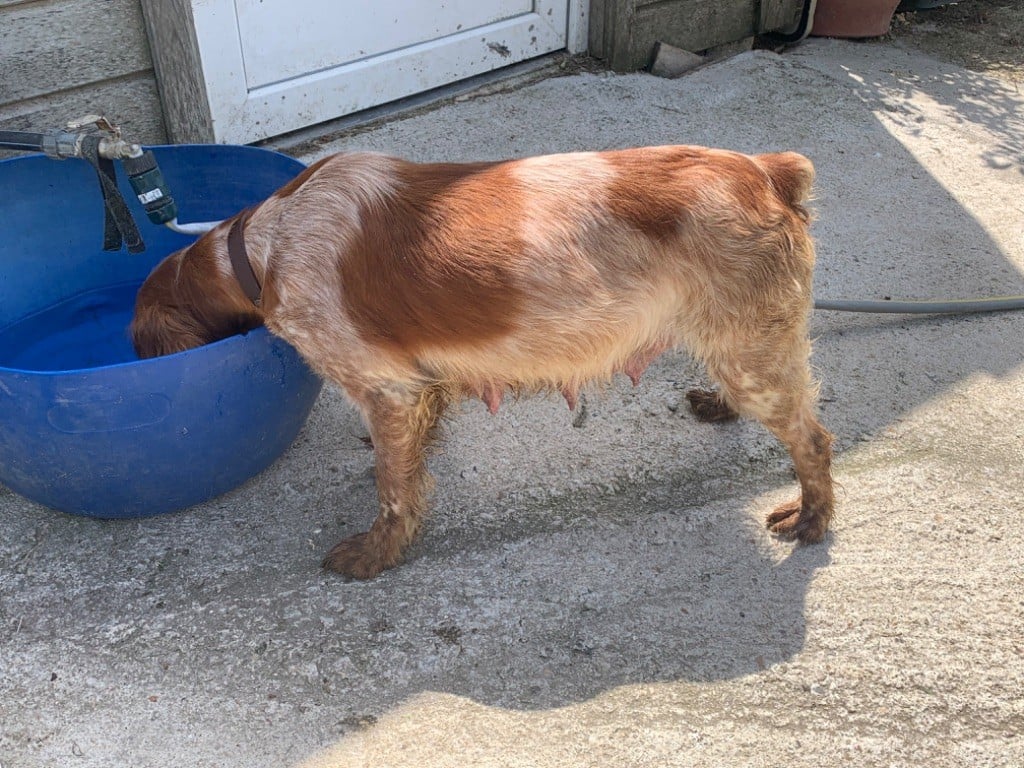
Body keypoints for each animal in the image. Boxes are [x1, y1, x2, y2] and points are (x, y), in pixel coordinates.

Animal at [130, 145, 831, 577]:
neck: (266, 246)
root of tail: (766, 172)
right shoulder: (415, 387)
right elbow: (406, 458)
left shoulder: (387, 388)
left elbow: (393, 490)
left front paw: (375, 554)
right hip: (737, 345)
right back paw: (720, 406)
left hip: (753, 355)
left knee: (812, 440)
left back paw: (811, 518)